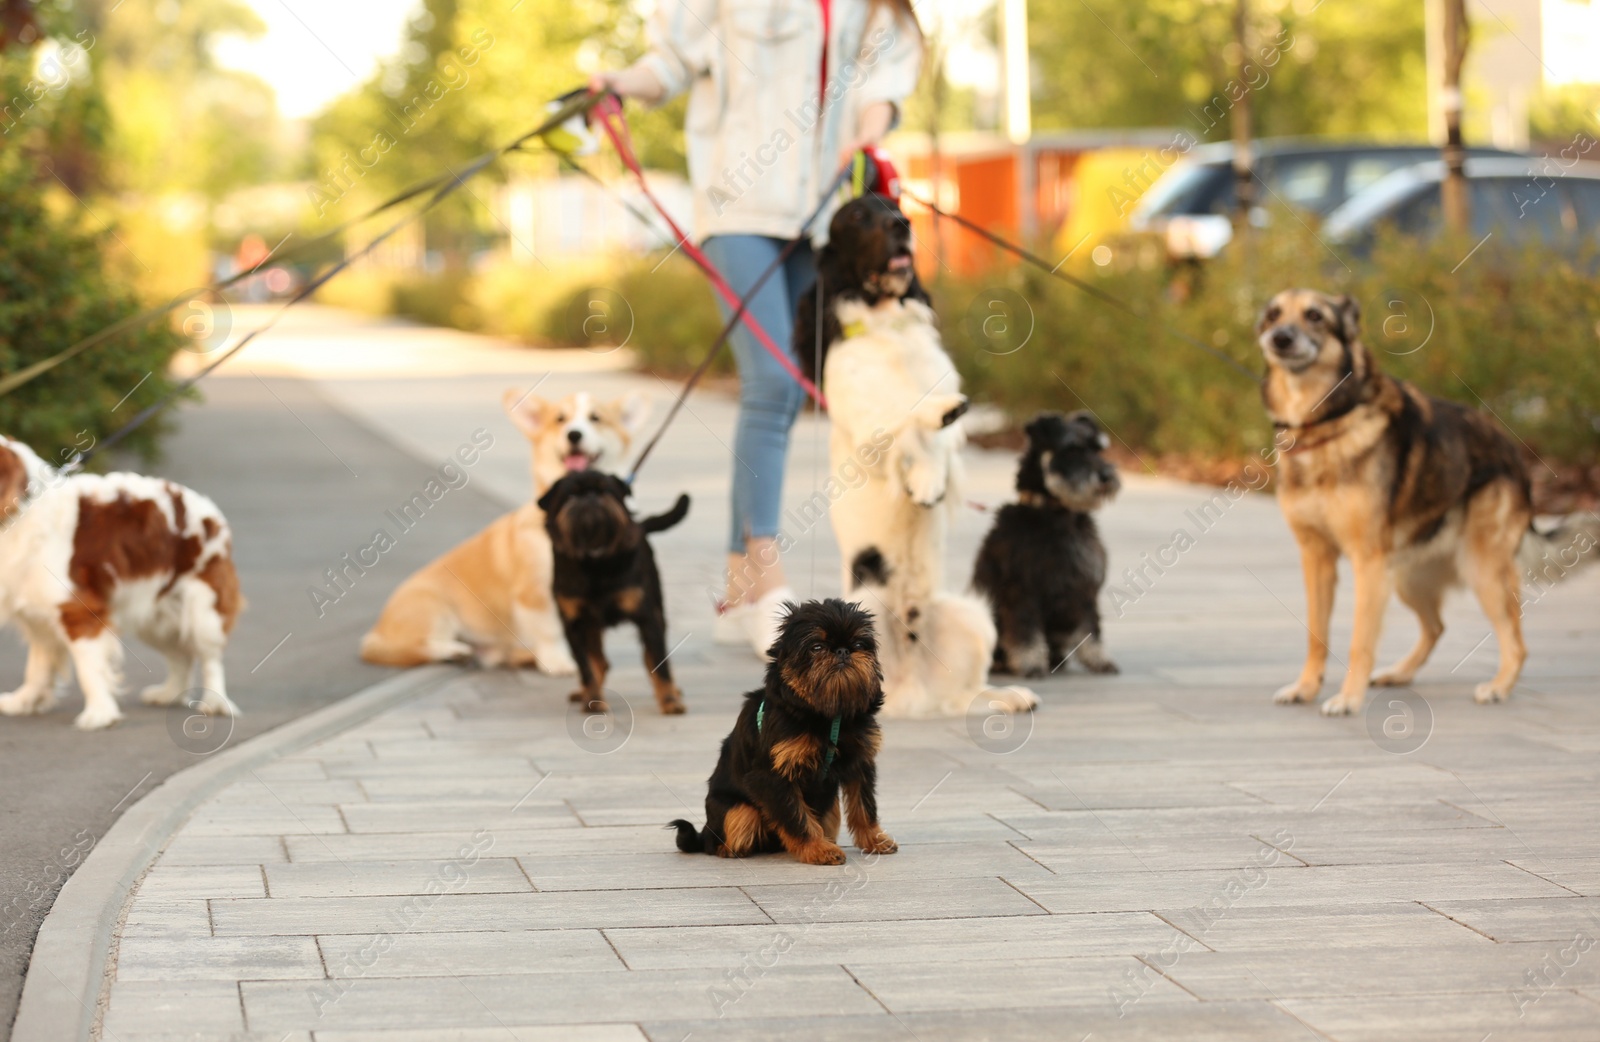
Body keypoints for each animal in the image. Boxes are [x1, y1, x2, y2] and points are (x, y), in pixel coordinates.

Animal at [363, 390, 649, 669]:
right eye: (560, 420)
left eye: (596, 418)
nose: (574, 434)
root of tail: (377, 630)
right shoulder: (535, 594)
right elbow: (550, 630)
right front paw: (559, 663)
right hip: (434, 610)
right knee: (413, 648)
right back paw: (453, 651)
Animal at [540, 473, 691, 717]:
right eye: (570, 495)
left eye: (605, 490)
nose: (590, 496)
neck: (594, 561)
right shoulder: (574, 626)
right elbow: (586, 668)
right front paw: (593, 700)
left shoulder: (647, 618)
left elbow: (660, 663)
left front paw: (669, 700)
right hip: (591, 628)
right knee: (600, 663)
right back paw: (586, 694)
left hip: (657, 612)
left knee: (650, 658)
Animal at [672, 598, 902, 870]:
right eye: (816, 647)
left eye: (858, 645)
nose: (842, 651)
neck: (828, 713)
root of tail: (706, 833)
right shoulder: (772, 777)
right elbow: (797, 817)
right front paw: (818, 849)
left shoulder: (860, 764)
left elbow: (864, 806)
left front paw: (874, 839)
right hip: (739, 811)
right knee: (730, 833)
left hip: (830, 808)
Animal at [966, 412, 1120, 681]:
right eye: (1071, 450)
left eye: (1098, 449)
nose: (1105, 477)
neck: (1056, 515)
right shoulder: (1022, 591)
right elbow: (1026, 632)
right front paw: (1031, 664)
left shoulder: (1085, 588)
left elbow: (1091, 628)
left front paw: (1099, 660)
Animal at [1254, 291, 1593, 717]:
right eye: (1273, 315)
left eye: (1315, 316)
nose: (1279, 338)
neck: (1326, 424)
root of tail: (1515, 454)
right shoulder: (1316, 559)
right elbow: (1317, 634)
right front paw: (1306, 687)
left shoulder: (1368, 564)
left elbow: (1360, 640)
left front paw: (1348, 698)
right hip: (1407, 579)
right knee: (1436, 627)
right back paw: (1399, 673)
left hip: (1480, 571)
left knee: (1516, 641)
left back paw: (1498, 687)